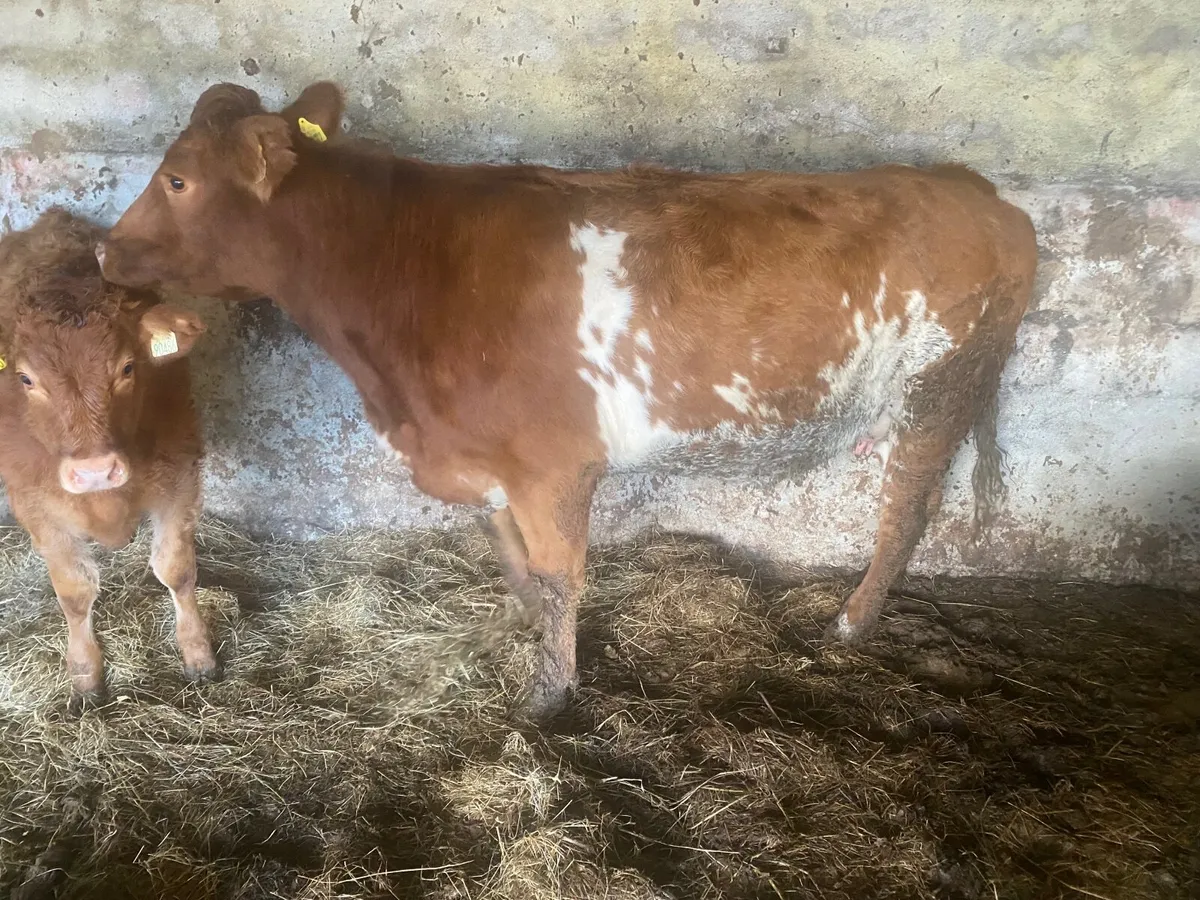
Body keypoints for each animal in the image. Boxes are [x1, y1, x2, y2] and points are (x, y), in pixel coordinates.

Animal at [0, 208, 219, 707]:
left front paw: (198, 654)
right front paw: (85, 675)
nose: (95, 471)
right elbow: (75, 593)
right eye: (25, 379)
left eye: (128, 367)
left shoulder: (181, 478)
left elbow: (177, 569)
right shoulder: (35, 505)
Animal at [98, 81, 1038, 718]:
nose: (104, 251)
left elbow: (558, 577)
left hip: (938, 387)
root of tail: (977, 190)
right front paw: (523, 635)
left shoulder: (554, 467)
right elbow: (514, 559)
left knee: (906, 508)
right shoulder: (485, 462)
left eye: (176, 182)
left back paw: (851, 623)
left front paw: (550, 696)